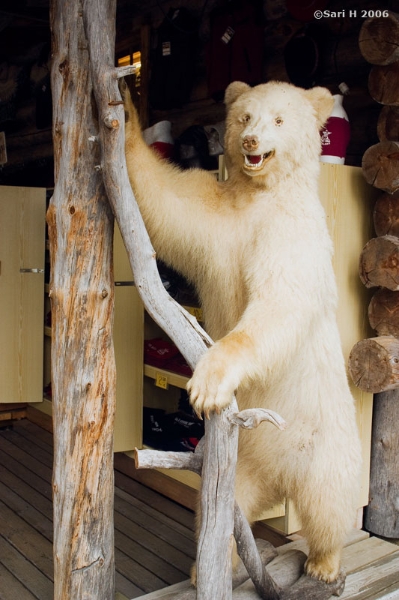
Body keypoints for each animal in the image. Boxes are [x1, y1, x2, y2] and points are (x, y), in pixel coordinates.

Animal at [122, 77, 362, 584]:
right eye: (245, 116)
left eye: (279, 119)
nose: (251, 142)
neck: (262, 195)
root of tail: (282, 478)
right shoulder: (221, 216)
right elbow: (172, 205)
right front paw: (127, 112)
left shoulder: (292, 233)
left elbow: (278, 301)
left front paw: (209, 383)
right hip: (239, 465)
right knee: (224, 509)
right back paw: (209, 564)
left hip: (326, 445)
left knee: (330, 503)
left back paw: (325, 563)